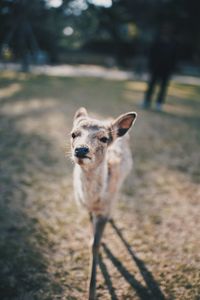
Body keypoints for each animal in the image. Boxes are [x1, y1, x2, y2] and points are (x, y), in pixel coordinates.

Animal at [69, 108, 137, 300]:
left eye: (104, 138)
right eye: (73, 134)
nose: (81, 149)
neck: (93, 200)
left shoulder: (104, 210)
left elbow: (95, 245)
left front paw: (91, 293)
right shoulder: (87, 208)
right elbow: (92, 238)